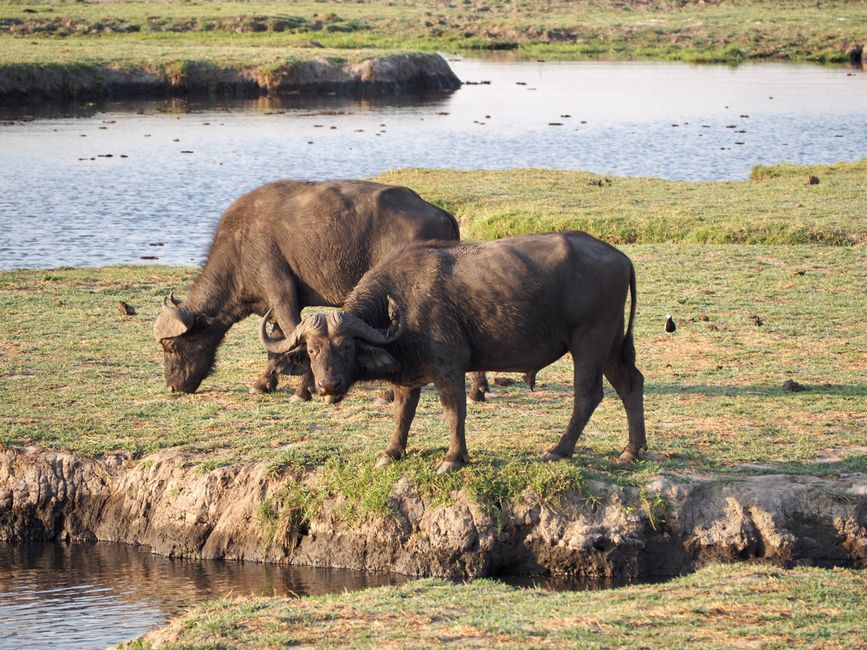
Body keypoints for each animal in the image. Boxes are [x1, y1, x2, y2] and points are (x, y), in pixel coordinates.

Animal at [154, 178, 488, 400]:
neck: (239, 245)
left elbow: (294, 336)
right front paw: (265, 382)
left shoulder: (282, 296)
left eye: (171, 346)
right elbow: (277, 340)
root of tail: (441, 213)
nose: (172, 386)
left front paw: (304, 389)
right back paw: (479, 387)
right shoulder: (277, 304)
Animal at [262, 230, 648, 468]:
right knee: (631, 384)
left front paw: (453, 458)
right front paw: (392, 452)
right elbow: (403, 414)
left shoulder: (449, 368)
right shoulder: (407, 376)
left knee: (588, 395)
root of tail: (619, 257)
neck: (399, 303)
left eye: (346, 346)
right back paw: (632, 450)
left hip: (589, 343)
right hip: (612, 345)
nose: (327, 386)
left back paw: (559, 450)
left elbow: (454, 412)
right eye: (313, 350)